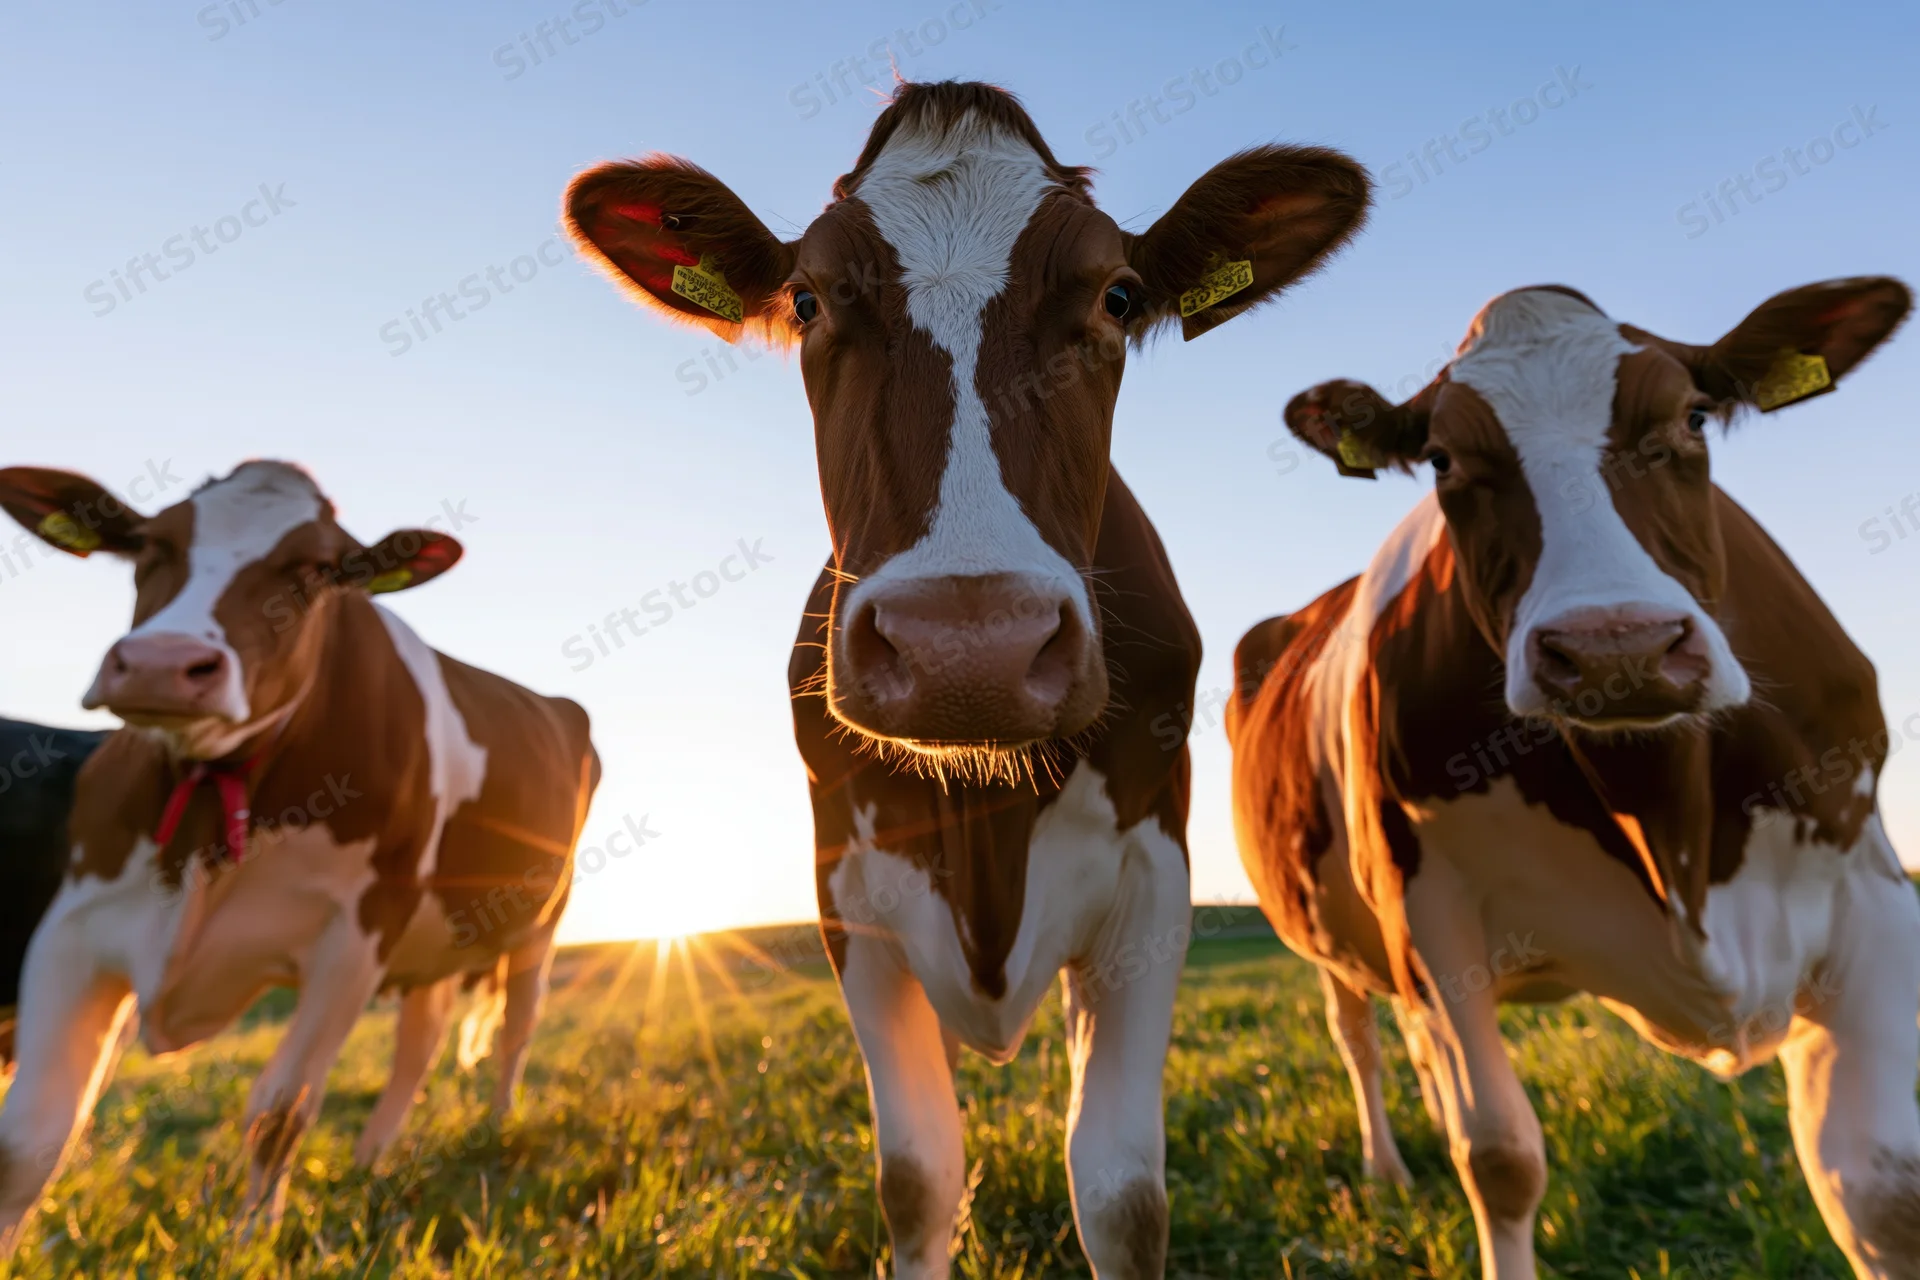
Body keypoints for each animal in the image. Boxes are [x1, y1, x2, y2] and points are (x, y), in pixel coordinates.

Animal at [565, 80, 1368, 1276]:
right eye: (807, 298)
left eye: (1118, 295)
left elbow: (1123, 1191)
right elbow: (916, 1176)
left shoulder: (1154, 882)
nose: (968, 647)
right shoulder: (847, 895)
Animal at [1230, 277, 1917, 1277]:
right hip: (1331, 937)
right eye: (1442, 457)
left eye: (1693, 417)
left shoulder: (1869, 887)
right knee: (1360, 1039)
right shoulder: (1429, 915)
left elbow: (1879, 1195)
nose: (1614, 649)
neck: (1670, 824)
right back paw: (1388, 1169)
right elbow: (1501, 1158)